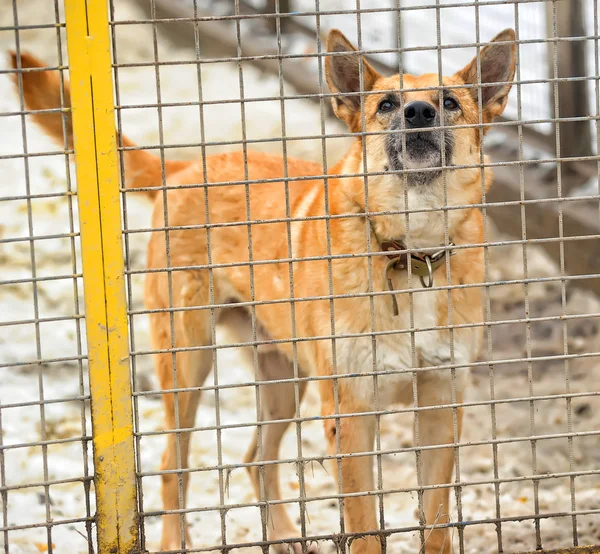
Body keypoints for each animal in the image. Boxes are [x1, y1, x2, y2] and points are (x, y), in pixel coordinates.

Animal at [10, 28, 516, 552]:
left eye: (450, 102)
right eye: (387, 104)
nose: (418, 112)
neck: (410, 249)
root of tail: (185, 170)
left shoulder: (441, 407)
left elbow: (436, 526)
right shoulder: (350, 414)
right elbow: (363, 527)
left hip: (284, 379)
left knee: (256, 457)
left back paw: (285, 533)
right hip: (188, 363)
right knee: (174, 465)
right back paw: (178, 539)